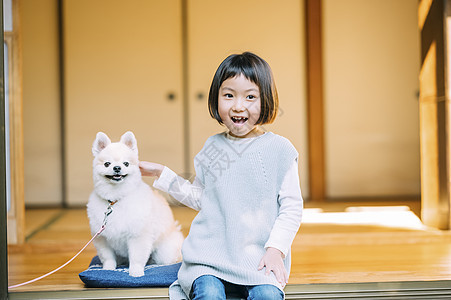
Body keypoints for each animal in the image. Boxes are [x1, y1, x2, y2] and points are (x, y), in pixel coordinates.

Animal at [87, 132, 185, 278]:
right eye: (107, 164)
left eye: (126, 163)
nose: (117, 168)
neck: (116, 199)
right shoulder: (102, 238)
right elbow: (107, 257)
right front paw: (107, 269)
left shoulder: (138, 236)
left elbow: (137, 257)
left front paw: (136, 272)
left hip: (164, 252)